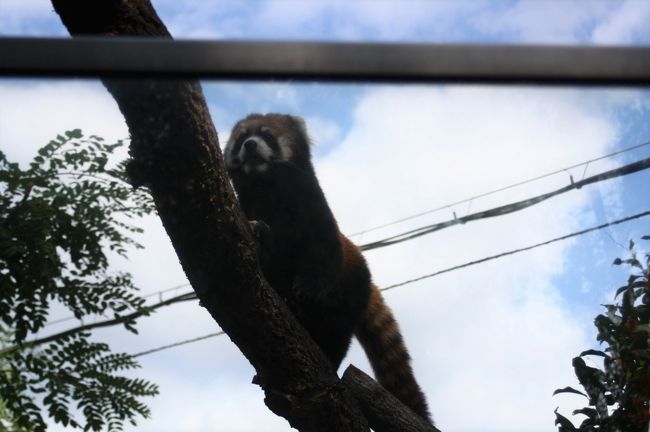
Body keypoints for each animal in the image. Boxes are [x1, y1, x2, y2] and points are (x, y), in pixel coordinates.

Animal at [223, 113, 430, 424]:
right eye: (241, 138)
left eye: (267, 135)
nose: (250, 145)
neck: (269, 188)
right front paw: (260, 234)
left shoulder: (315, 214)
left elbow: (322, 258)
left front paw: (306, 289)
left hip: (350, 291)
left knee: (336, 328)